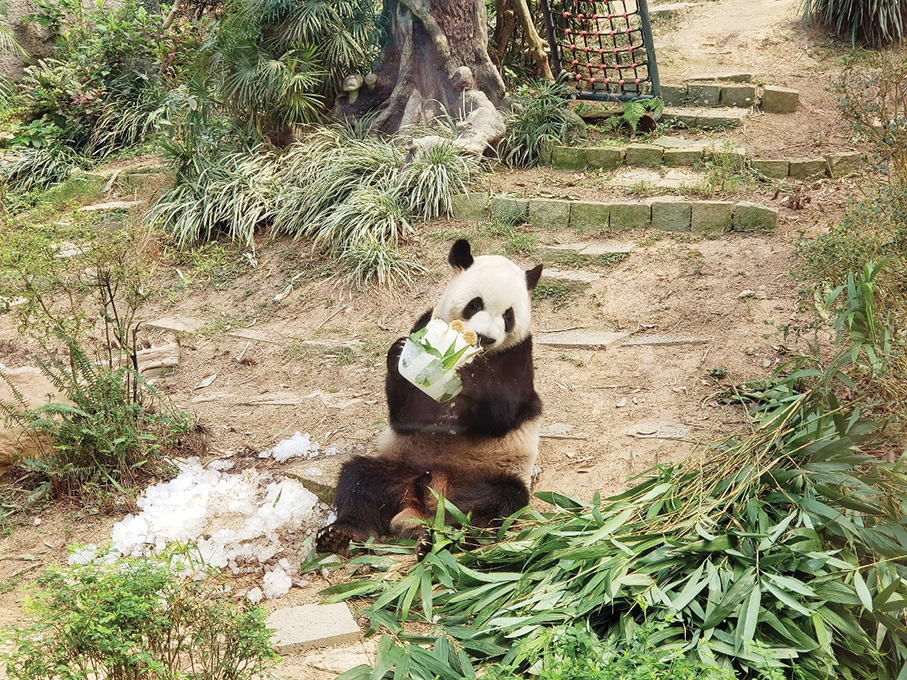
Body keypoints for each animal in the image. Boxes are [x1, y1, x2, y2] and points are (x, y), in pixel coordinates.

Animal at [318, 239, 548, 556]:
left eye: (508, 315)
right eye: (476, 304)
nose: (486, 338)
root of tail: (425, 503)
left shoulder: (518, 356)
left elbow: (504, 414)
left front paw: (475, 376)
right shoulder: (424, 324)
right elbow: (406, 417)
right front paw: (399, 356)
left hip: (494, 474)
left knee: (494, 503)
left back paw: (443, 537)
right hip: (402, 469)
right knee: (359, 480)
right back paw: (343, 533)